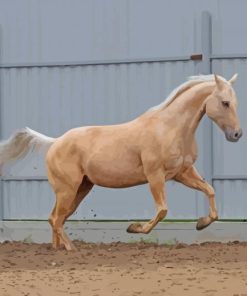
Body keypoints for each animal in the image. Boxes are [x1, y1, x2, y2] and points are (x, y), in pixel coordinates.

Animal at [0, 73, 242, 250]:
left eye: (235, 102)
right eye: (225, 102)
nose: (237, 135)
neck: (170, 128)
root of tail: (55, 142)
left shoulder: (183, 173)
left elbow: (209, 190)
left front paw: (202, 223)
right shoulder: (155, 176)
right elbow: (162, 210)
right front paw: (134, 228)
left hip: (80, 189)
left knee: (55, 218)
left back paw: (58, 249)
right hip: (67, 190)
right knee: (57, 219)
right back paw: (72, 250)